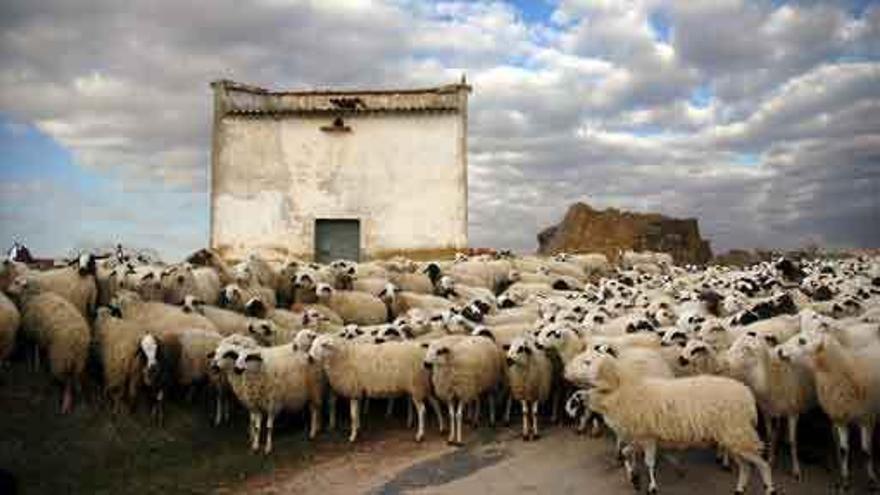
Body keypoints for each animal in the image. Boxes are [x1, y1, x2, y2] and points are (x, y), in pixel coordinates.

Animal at [6, 280, 90, 414]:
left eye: (17, 282)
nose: (7, 291)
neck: (34, 296)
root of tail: (78, 338)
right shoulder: (39, 333)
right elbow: (38, 348)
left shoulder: (32, 331)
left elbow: (33, 348)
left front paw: (33, 365)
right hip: (79, 359)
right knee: (75, 376)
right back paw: (78, 388)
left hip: (61, 356)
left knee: (66, 381)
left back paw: (65, 404)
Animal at [584, 352, 776, 495]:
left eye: (601, 386)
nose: (581, 395)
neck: (627, 391)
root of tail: (748, 395)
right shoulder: (641, 438)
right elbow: (626, 453)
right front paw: (634, 478)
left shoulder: (647, 437)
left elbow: (649, 462)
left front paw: (652, 487)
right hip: (733, 438)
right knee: (746, 467)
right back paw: (740, 489)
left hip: (739, 434)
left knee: (763, 464)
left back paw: (769, 489)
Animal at [724, 332, 816, 478]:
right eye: (732, 344)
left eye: (746, 349)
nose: (724, 362)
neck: (772, 376)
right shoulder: (767, 412)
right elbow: (769, 436)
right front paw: (771, 459)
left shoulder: (793, 412)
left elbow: (793, 441)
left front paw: (796, 470)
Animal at [776, 330, 880, 488]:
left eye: (802, 341)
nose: (779, 350)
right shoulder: (840, 417)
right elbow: (844, 450)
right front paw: (845, 480)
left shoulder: (867, 417)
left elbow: (867, 451)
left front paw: (872, 479)